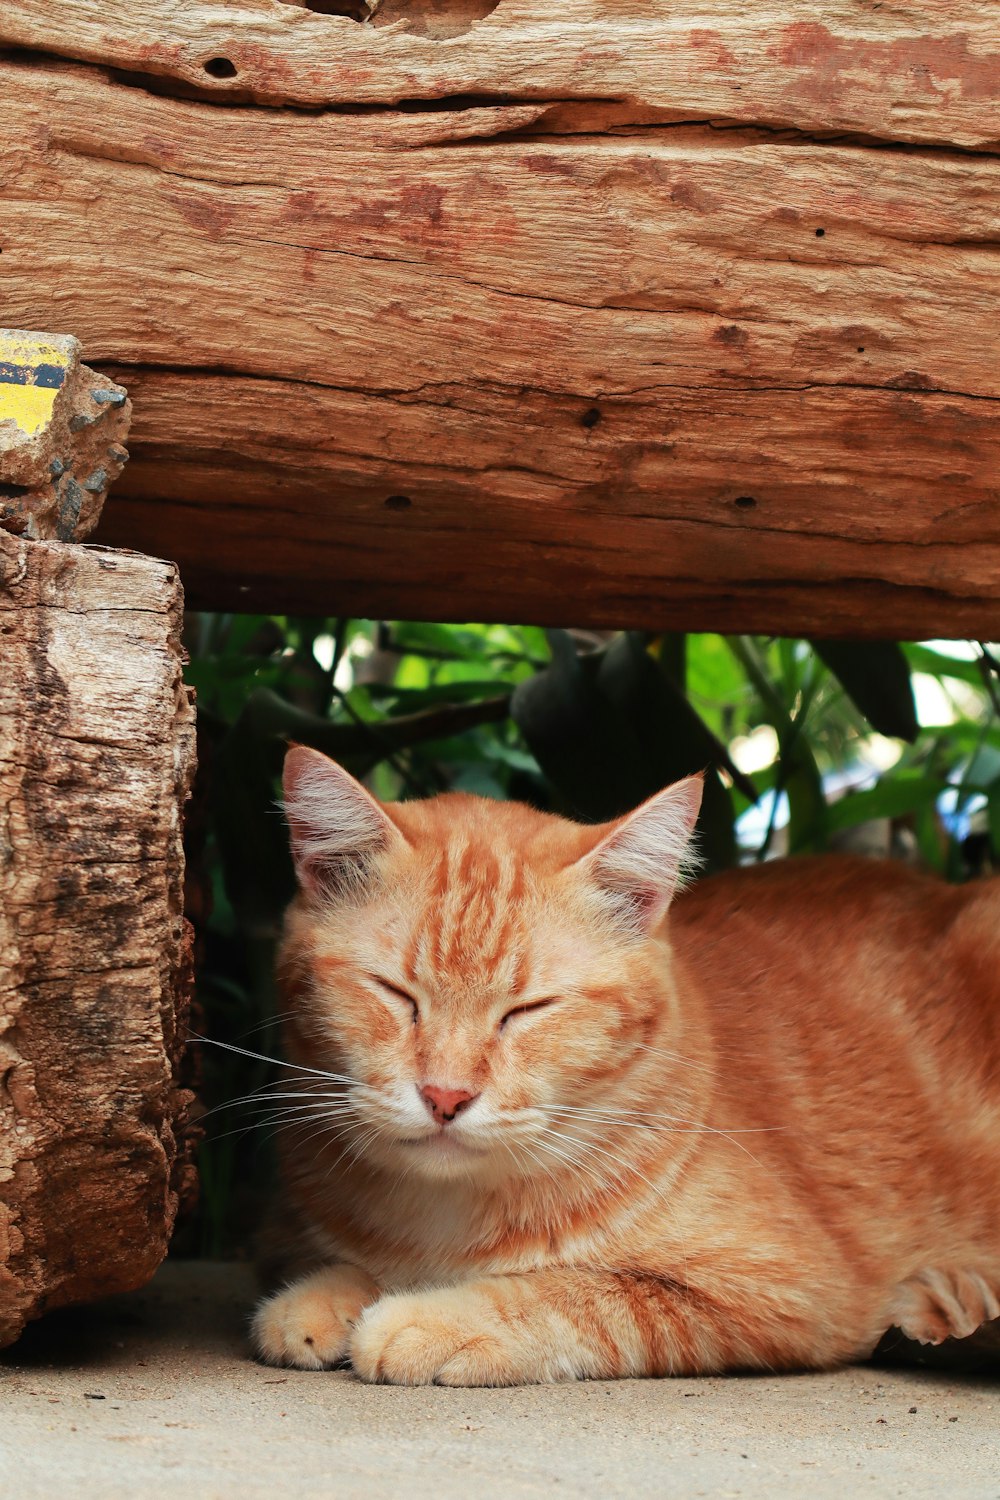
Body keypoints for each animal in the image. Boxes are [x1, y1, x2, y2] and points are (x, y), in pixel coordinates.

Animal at [254, 744, 1000, 1386]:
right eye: (395, 993)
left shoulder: (791, 1293)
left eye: (527, 1010)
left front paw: (436, 1319)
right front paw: (326, 1294)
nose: (445, 1095)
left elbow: (578, 1295)